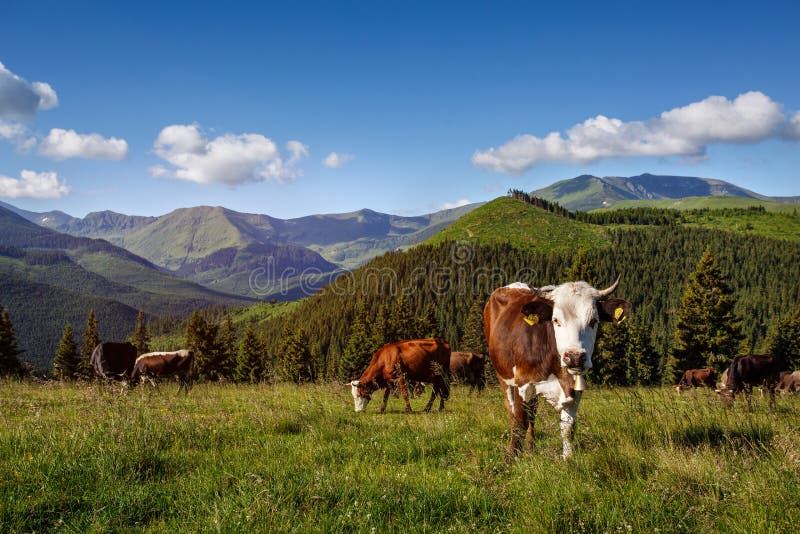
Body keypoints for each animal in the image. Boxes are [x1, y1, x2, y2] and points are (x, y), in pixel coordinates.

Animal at [482, 276, 632, 460]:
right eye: (556, 320)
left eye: (594, 321)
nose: (575, 357)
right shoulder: (522, 383)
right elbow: (519, 423)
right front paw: (510, 457)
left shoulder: (574, 388)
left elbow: (568, 428)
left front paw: (568, 459)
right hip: (503, 375)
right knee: (511, 408)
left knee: (532, 413)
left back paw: (530, 447)